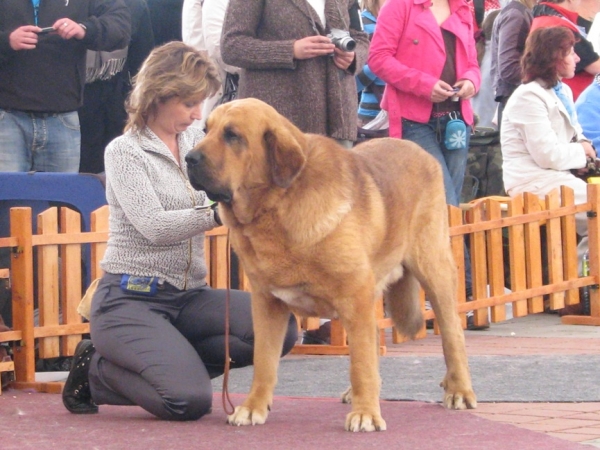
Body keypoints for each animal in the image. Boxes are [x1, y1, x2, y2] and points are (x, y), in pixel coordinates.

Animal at [185, 98, 476, 432]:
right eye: (206, 130)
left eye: (232, 135)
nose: (189, 158)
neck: (278, 205)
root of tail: (423, 153)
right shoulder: (267, 304)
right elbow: (264, 361)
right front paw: (253, 407)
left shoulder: (356, 296)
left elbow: (360, 362)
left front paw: (366, 413)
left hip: (434, 269)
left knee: (452, 336)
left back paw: (459, 390)